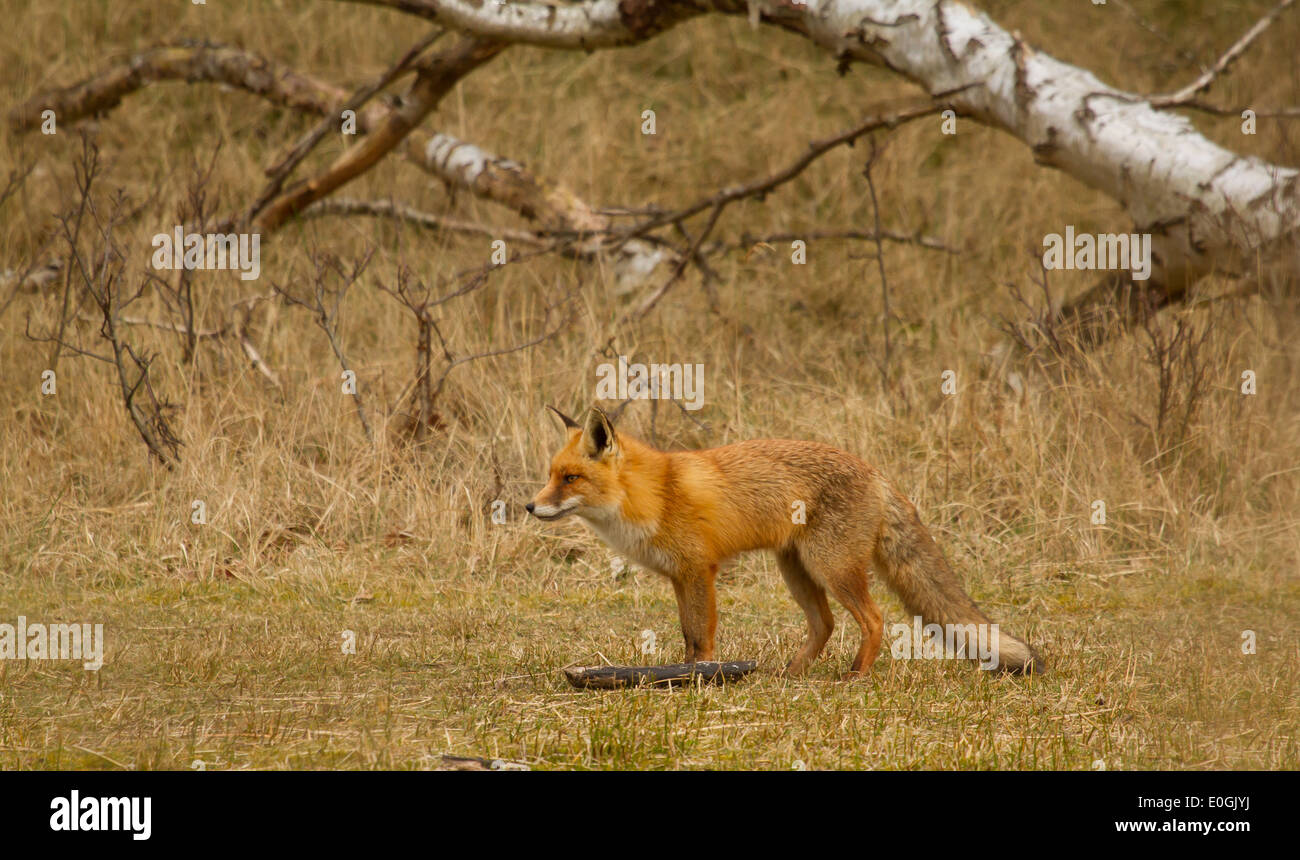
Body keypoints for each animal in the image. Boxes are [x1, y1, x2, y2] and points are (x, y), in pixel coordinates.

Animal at [527, 407, 1045, 675]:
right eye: (551, 476)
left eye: (571, 478)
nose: (531, 507)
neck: (653, 494)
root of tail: (875, 472)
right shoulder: (679, 576)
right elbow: (687, 634)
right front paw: (686, 673)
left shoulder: (699, 571)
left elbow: (701, 636)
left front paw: (700, 679)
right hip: (796, 570)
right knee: (825, 625)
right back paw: (794, 674)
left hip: (830, 567)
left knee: (874, 619)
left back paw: (856, 675)